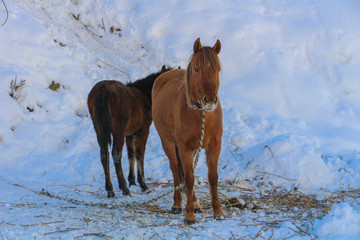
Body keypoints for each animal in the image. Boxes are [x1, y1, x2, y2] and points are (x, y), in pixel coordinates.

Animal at [88, 65, 171, 197]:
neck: (144, 96)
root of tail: (102, 90)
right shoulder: (143, 131)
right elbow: (140, 154)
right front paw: (143, 185)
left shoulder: (130, 134)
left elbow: (131, 153)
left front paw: (132, 181)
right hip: (118, 131)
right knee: (116, 154)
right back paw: (123, 188)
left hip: (99, 130)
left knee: (104, 154)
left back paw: (110, 190)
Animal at [151, 38, 224, 224]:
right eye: (197, 69)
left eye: (217, 69)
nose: (210, 100)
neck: (201, 114)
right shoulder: (184, 148)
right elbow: (189, 179)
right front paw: (189, 214)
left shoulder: (215, 146)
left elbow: (213, 177)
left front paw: (218, 211)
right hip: (168, 143)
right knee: (176, 170)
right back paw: (177, 204)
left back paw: (196, 204)